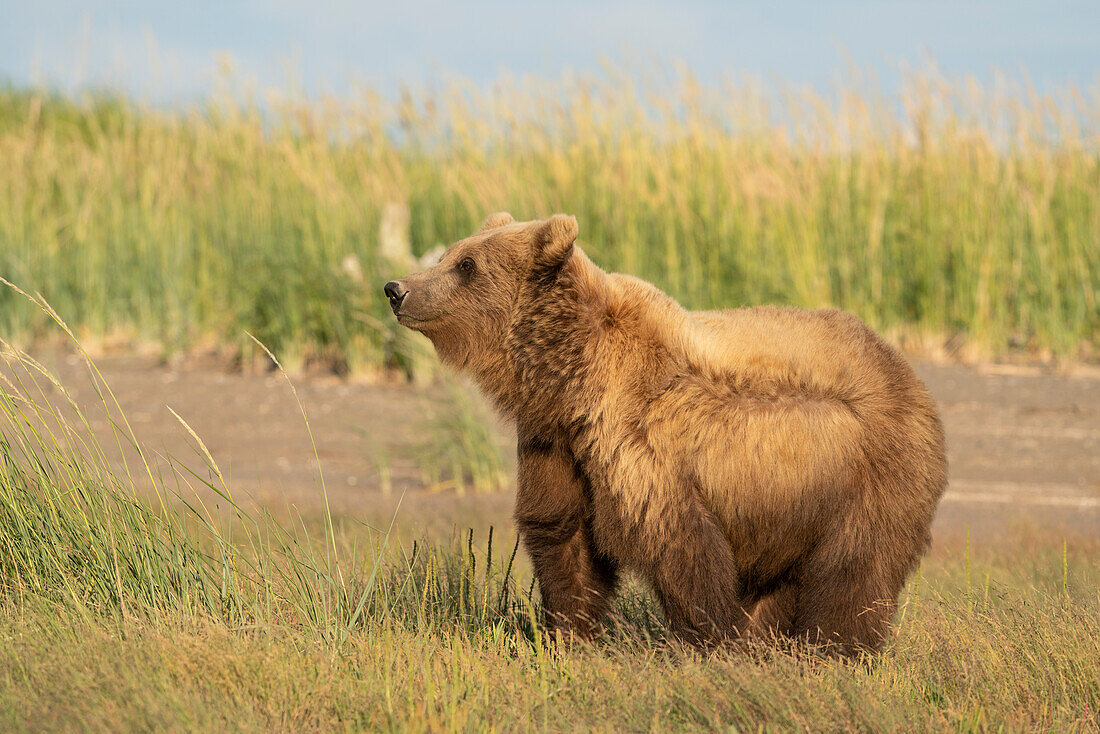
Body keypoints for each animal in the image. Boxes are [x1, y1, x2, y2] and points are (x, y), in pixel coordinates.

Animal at [385, 212, 946, 655]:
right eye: (451, 253)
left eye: (466, 264)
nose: (396, 289)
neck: (571, 373)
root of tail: (904, 367)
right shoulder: (556, 442)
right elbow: (563, 535)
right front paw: (567, 635)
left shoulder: (643, 439)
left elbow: (678, 543)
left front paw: (711, 642)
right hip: (790, 506)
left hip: (868, 475)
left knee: (853, 575)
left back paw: (831, 651)